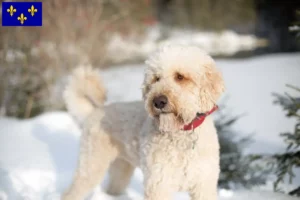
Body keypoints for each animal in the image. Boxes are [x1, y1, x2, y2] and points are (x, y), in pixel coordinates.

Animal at [61, 44, 225, 199]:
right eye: (156, 78)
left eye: (180, 76)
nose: (158, 101)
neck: (182, 132)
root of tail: (94, 111)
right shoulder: (158, 183)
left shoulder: (204, 185)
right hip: (91, 165)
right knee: (70, 193)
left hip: (121, 167)